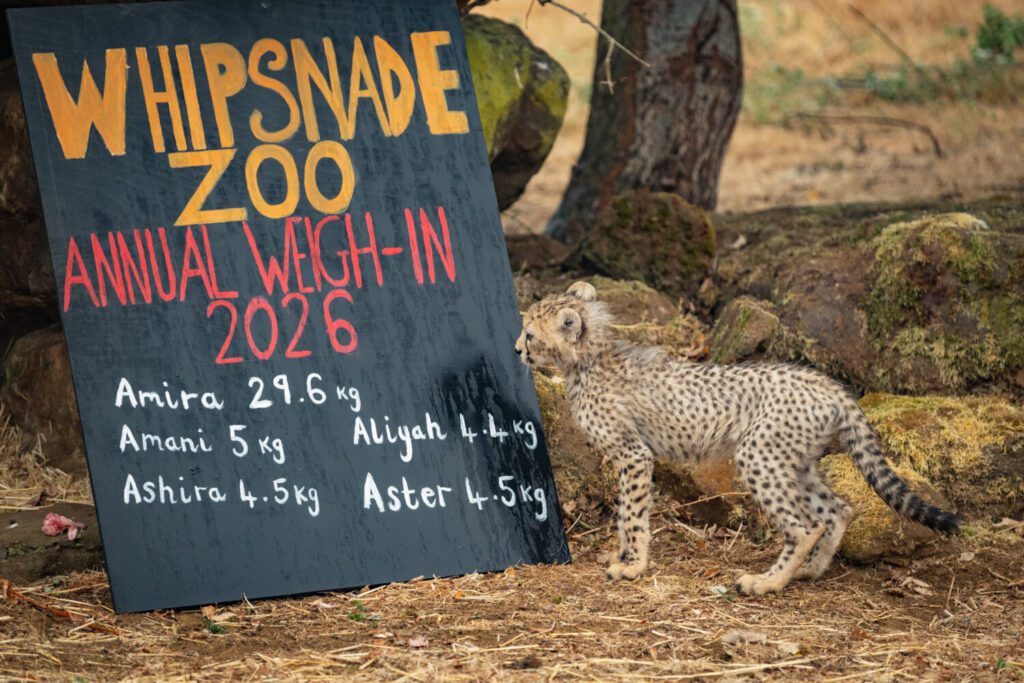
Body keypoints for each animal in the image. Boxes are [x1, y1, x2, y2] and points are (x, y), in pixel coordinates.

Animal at [515, 281, 962, 595]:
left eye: (531, 334)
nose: (518, 349)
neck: (588, 359)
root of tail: (830, 386)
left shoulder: (634, 454)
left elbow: (632, 514)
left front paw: (633, 566)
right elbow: (627, 515)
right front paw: (623, 556)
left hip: (758, 455)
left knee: (803, 527)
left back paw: (767, 582)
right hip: (794, 460)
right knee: (836, 510)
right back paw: (809, 571)